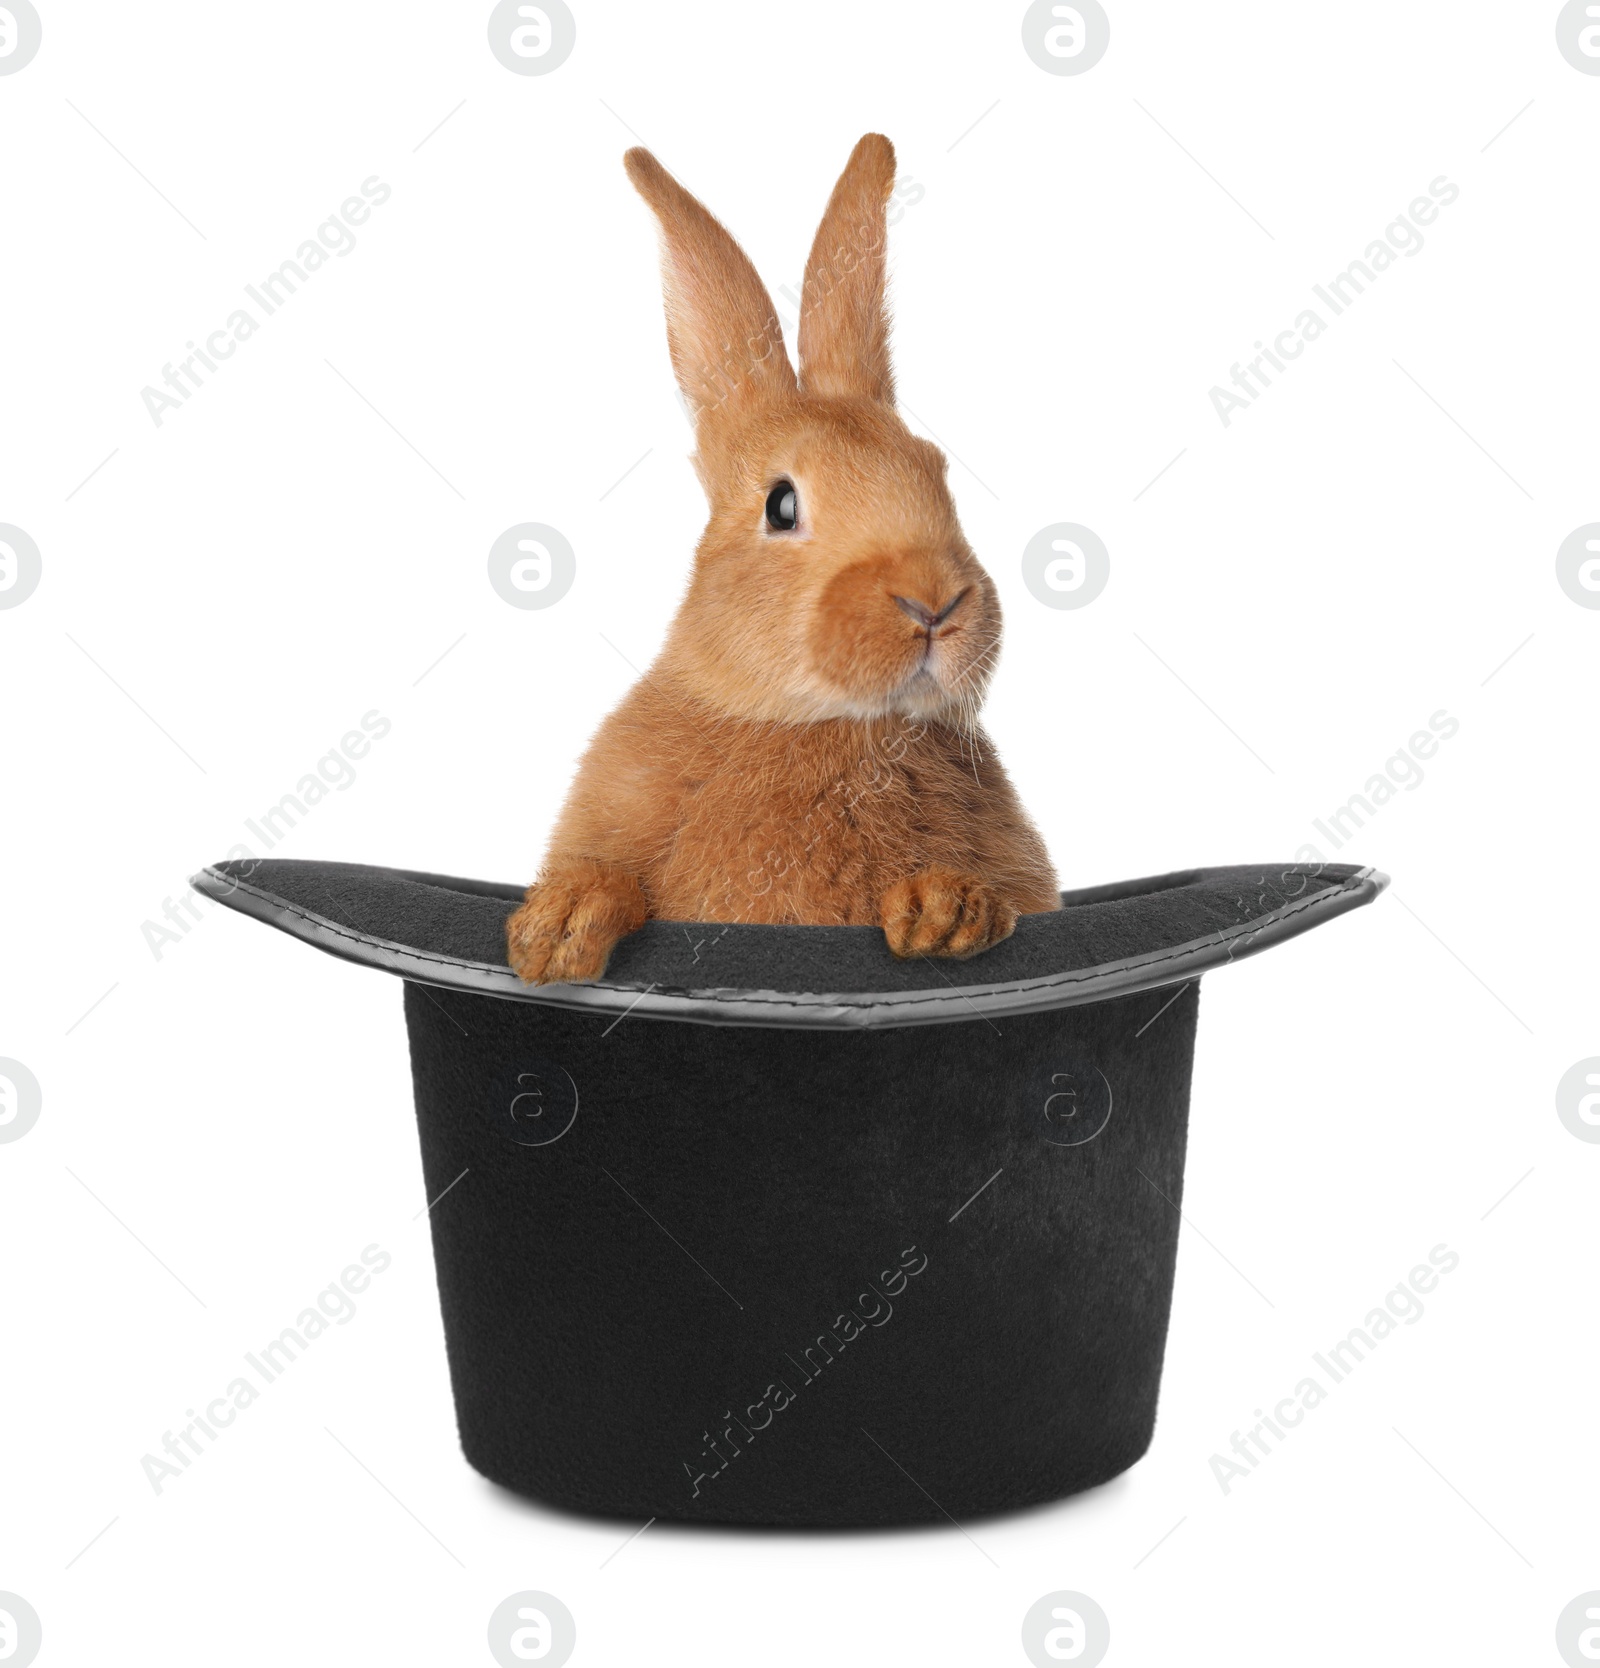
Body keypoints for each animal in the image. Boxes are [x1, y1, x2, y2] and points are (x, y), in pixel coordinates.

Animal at [510, 136, 1061, 980]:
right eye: (781, 506)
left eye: (936, 472)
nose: (933, 601)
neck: (817, 720)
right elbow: (610, 873)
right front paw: (562, 927)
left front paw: (947, 909)